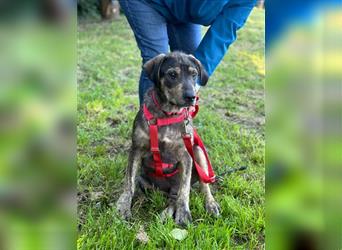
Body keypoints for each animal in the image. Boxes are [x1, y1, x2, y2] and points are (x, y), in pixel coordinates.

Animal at [116, 51, 220, 227]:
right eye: (172, 74)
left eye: (194, 74)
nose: (191, 97)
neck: (168, 113)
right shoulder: (136, 148)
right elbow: (129, 182)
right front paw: (123, 206)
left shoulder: (186, 155)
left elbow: (184, 191)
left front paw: (184, 213)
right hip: (146, 181)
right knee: (163, 196)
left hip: (198, 152)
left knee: (199, 187)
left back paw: (210, 204)